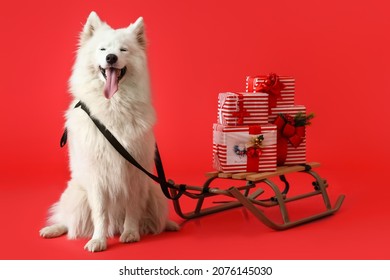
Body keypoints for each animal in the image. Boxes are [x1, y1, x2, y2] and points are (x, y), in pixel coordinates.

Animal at [38, 10, 179, 253]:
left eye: (123, 50)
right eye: (103, 49)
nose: (111, 58)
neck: (114, 105)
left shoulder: (134, 174)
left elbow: (132, 208)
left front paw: (130, 233)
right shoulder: (97, 177)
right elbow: (100, 214)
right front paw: (98, 241)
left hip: (155, 192)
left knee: (155, 220)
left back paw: (167, 225)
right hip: (77, 196)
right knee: (68, 221)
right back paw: (53, 229)